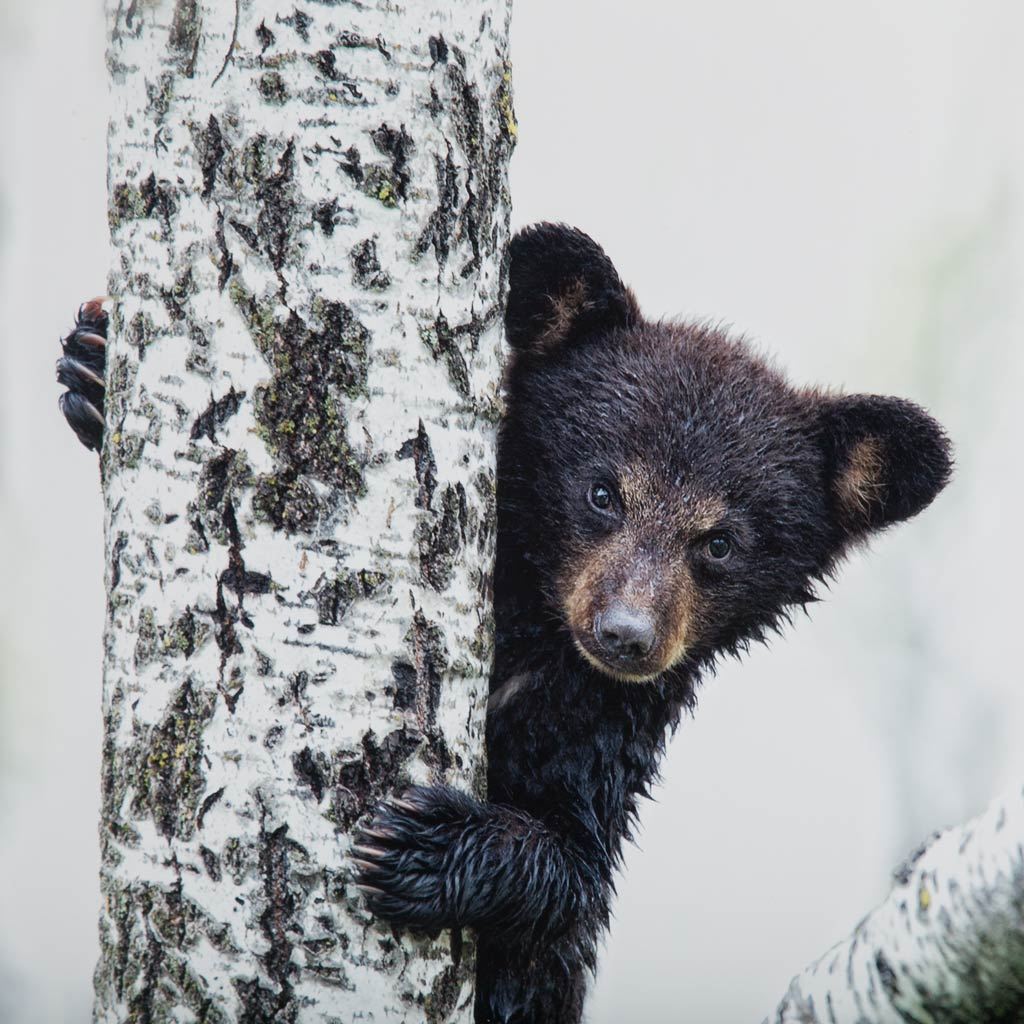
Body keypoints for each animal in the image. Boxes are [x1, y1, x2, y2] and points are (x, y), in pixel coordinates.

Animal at [57, 224, 952, 1024]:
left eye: (720, 542)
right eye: (603, 491)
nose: (626, 634)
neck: (532, 639)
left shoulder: (598, 729)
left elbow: (573, 877)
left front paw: (425, 845)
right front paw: (92, 363)